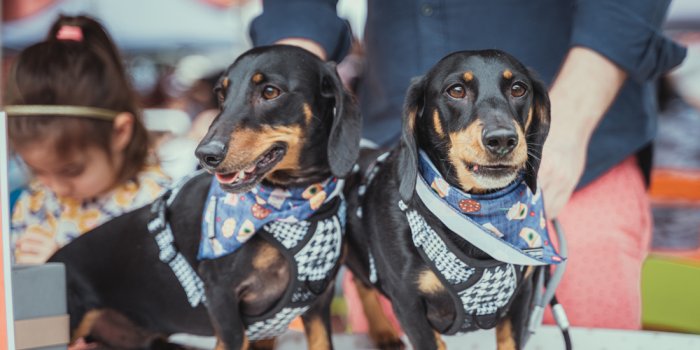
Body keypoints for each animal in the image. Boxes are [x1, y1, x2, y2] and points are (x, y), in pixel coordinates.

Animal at [50, 44, 360, 350]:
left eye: (271, 92)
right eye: (222, 93)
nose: (205, 154)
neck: (293, 205)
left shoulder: (318, 306)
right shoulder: (223, 301)